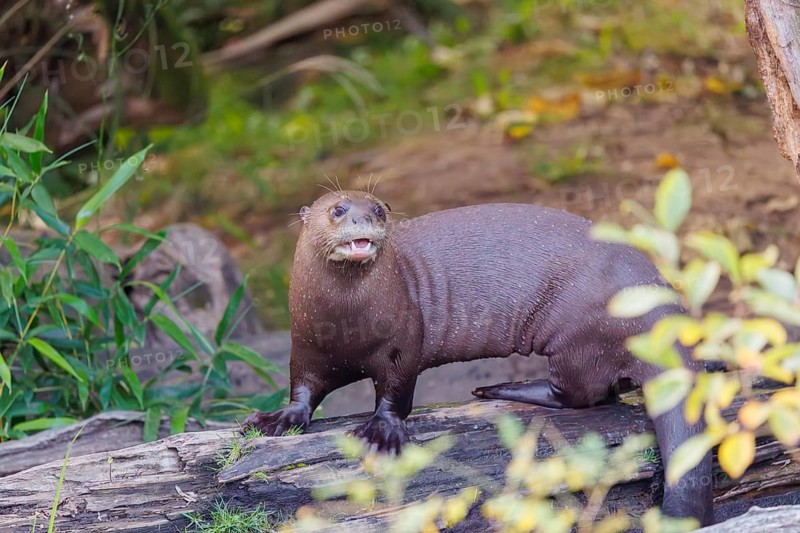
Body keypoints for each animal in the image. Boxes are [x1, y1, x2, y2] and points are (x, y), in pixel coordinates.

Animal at [242, 190, 713, 525]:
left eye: (378, 208)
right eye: (338, 209)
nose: (365, 220)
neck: (345, 323)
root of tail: (658, 301)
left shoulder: (403, 340)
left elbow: (397, 388)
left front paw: (382, 430)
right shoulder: (306, 343)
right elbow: (303, 385)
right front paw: (277, 419)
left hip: (578, 331)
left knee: (582, 393)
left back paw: (498, 388)